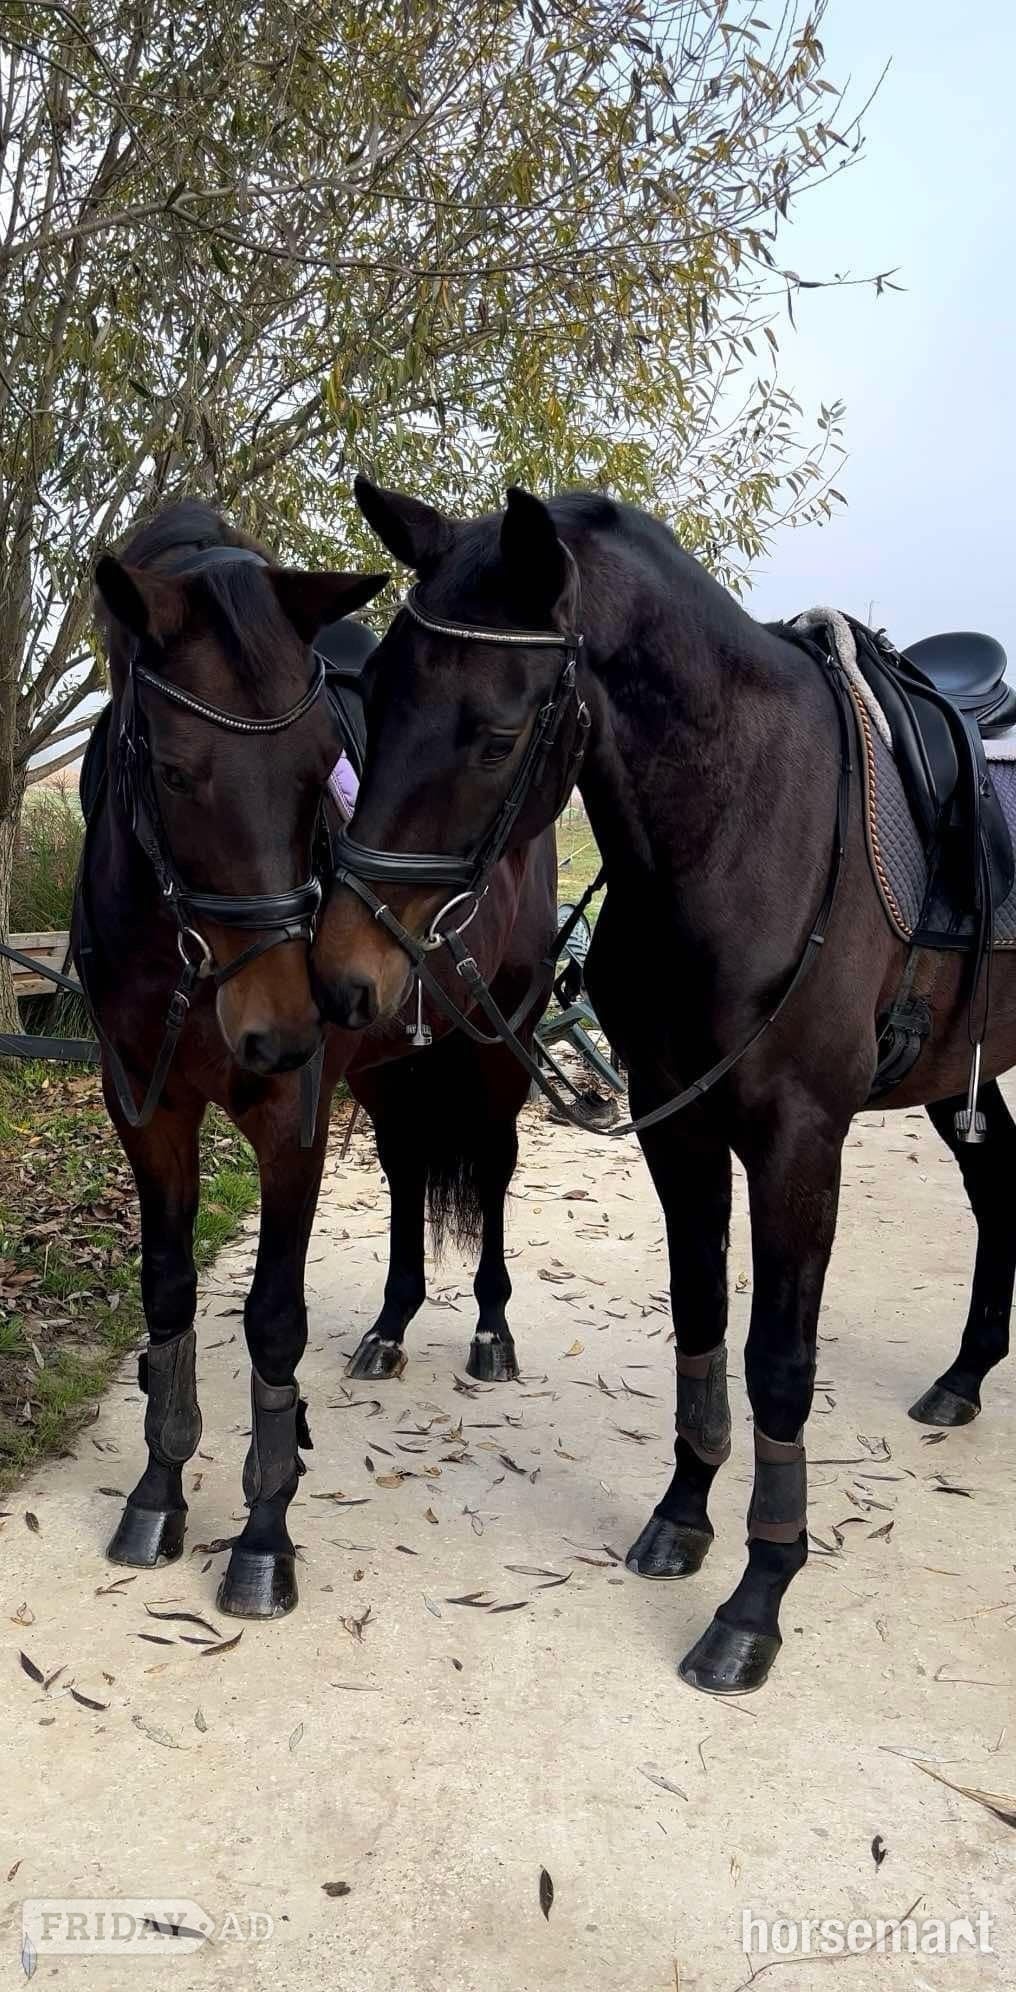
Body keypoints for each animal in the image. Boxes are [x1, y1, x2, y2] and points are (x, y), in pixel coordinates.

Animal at [75, 499, 557, 1620]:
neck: (177, 953)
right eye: (172, 769)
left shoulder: (283, 1124)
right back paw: (390, 1326)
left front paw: (262, 1537)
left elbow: (272, 1322)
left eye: (314, 768)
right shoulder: (145, 1112)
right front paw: (158, 1495)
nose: (287, 1026)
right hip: (382, 1072)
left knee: (493, 1172)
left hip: (496, 1048)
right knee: (405, 1172)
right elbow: (166, 1298)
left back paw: (489, 1332)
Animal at [309, 473, 1016, 1696]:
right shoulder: (673, 1126)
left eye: (496, 734)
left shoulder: (796, 1142)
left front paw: (757, 1599)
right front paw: (683, 1517)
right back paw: (963, 1377)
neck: (748, 831)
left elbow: (777, 1363)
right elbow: (698, 1321)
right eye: (378, 698)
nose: (347, 974)